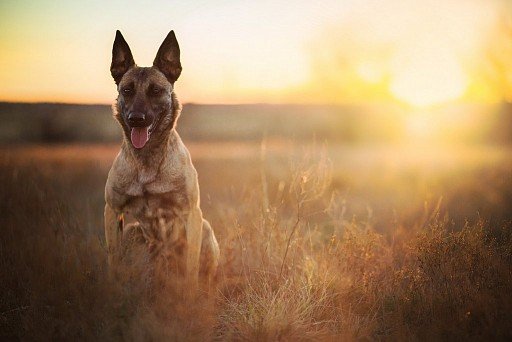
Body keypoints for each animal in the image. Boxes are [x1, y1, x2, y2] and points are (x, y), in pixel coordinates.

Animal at [105, 30, 219, 292]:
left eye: (156, 90)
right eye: (127, 90)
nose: (136, 119)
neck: (147, 160)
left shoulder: (190, 213)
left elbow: (191, 268)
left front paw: (189, 297)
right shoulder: (112, 211)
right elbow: (113, 260)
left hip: (205, 228)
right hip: (133, 232)